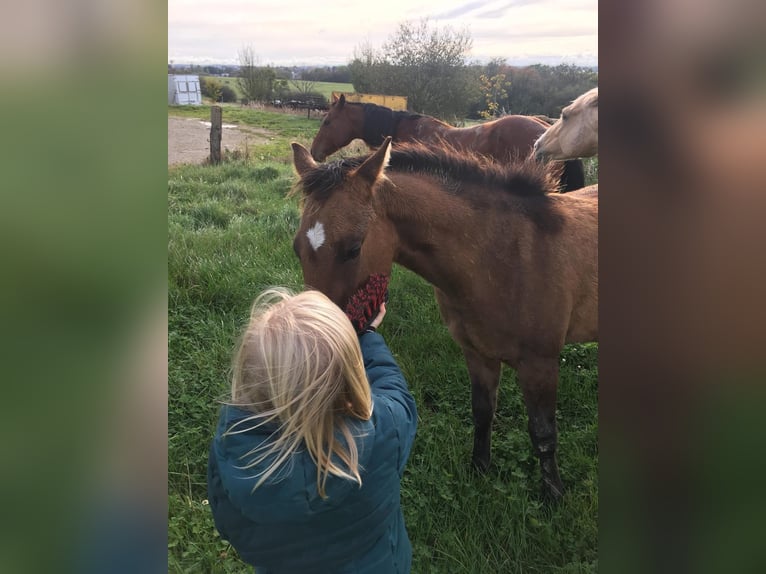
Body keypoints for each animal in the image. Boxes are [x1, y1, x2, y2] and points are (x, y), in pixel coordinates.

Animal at [292, 136, 600, 500]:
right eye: (297, 248)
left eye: (353, 249)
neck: (504, 254)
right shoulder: (477, 353)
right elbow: (482, 413)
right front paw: (479, 469)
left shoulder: (540, 363)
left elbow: (543, 433)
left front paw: (553, 495)